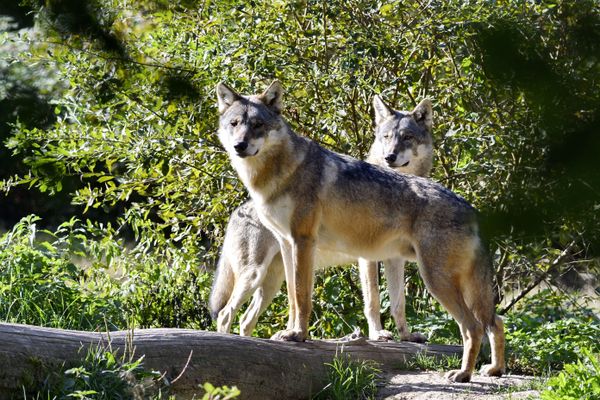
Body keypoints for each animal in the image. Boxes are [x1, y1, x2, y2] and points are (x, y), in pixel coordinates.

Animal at [212, 94, 436, 340]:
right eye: (386, 137)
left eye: (407, 137)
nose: (390, 157)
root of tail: (237, 211)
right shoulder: (366, 259)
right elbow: (373, 300)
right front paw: (377, 334)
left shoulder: (393, 258)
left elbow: (398, 304)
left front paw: (406, 336)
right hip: (253, 276)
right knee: (225, 314)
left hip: (271, 283)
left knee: (245, 319)